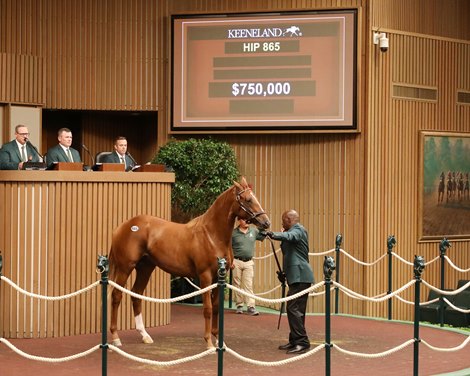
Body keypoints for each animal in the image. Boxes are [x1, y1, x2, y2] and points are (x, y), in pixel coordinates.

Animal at [106, 178, 268, 348]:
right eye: (248, 200)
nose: (266, 222)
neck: (212, 235)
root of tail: (123, 227)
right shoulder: (205, 277)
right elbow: (208, 309)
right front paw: (209, 343)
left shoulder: (218, 278)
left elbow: (216, 308)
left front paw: (218, 340)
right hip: (125, 268)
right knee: (117, 295)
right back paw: (116, 337)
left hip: (145, 268)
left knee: (136, 295)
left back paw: (145, 335)